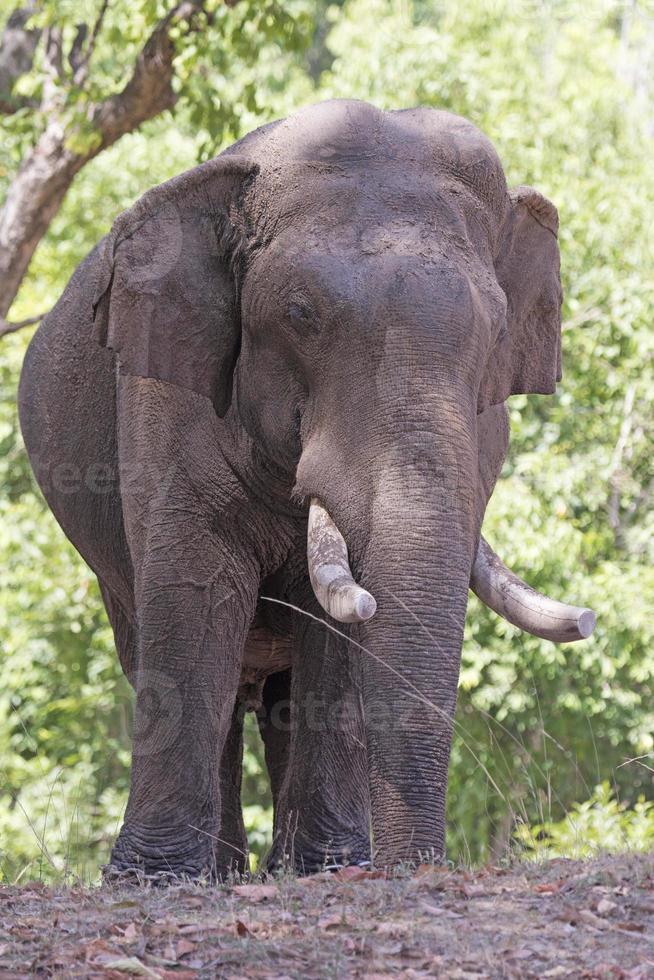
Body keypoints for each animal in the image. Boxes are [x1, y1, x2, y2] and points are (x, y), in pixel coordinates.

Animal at [18, 101, 596, 880]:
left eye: (499, 331)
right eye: (299, 316)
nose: (416, 868)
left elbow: (338, 636)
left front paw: (329, 870)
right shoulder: (163, 396)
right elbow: (196, 597)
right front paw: (153, 879)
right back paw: (222, 872)